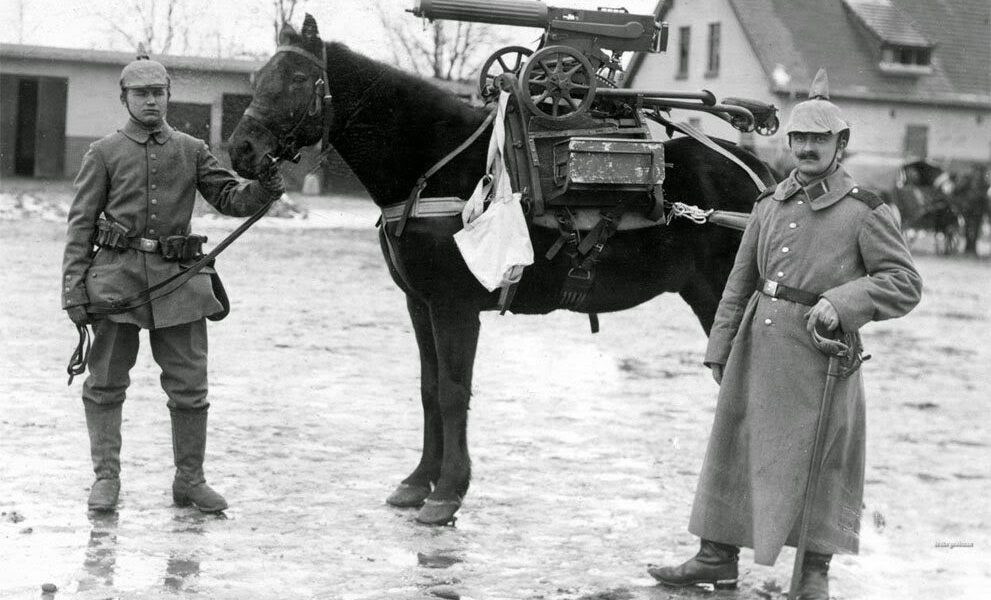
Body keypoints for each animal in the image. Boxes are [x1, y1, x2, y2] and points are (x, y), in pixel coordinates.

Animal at [229, 14, 780, 524]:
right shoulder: (419, 304)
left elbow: (453, 393)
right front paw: (418, 482)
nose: (242, 150)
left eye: (299, 78)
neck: (432, 165)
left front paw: (448, 493)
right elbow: (429, 390)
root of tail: (764, 179)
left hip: (719, 301)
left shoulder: (454, 306)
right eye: (259, 76)